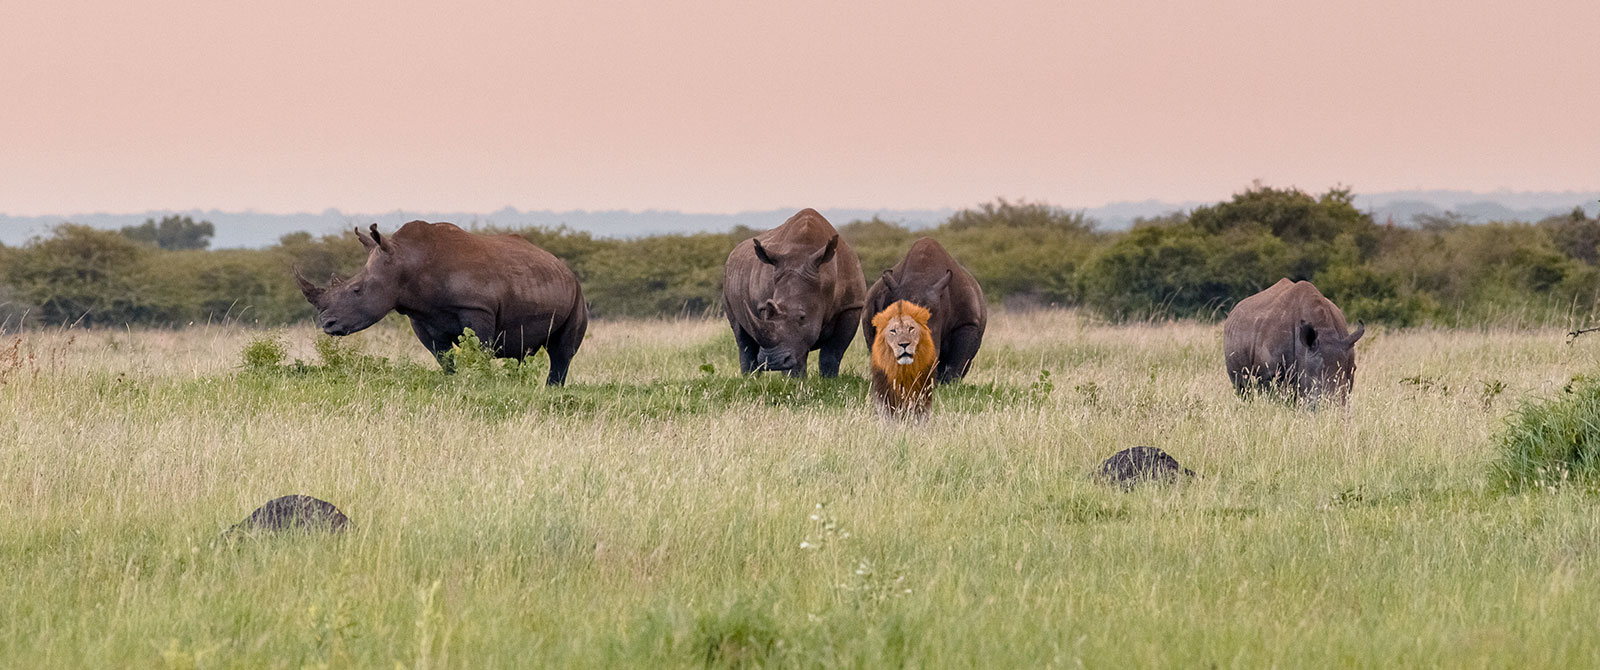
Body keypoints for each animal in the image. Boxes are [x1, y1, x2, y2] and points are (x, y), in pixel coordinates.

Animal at [294, 222, 588, 385]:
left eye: (356, 290)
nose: (327, 324)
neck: (407, 260)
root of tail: (563, 267)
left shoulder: (477, 308)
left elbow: (479, 350)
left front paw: (480, 380)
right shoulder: (420, 317)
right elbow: (442, 356)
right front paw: (452, 380)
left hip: (577, 295)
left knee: (562, 352)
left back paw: (552, 388)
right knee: (523, 352)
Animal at [723, 209, 864, 377]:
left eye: (802, 317)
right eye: (769, 311)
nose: (772, 361)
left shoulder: (851, 306)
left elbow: (832, 352)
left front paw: (829, 379)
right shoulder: (764, 307)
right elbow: (796, 352)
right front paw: (794, 380)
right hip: (727, 281)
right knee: (742, 338)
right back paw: (750, 379)